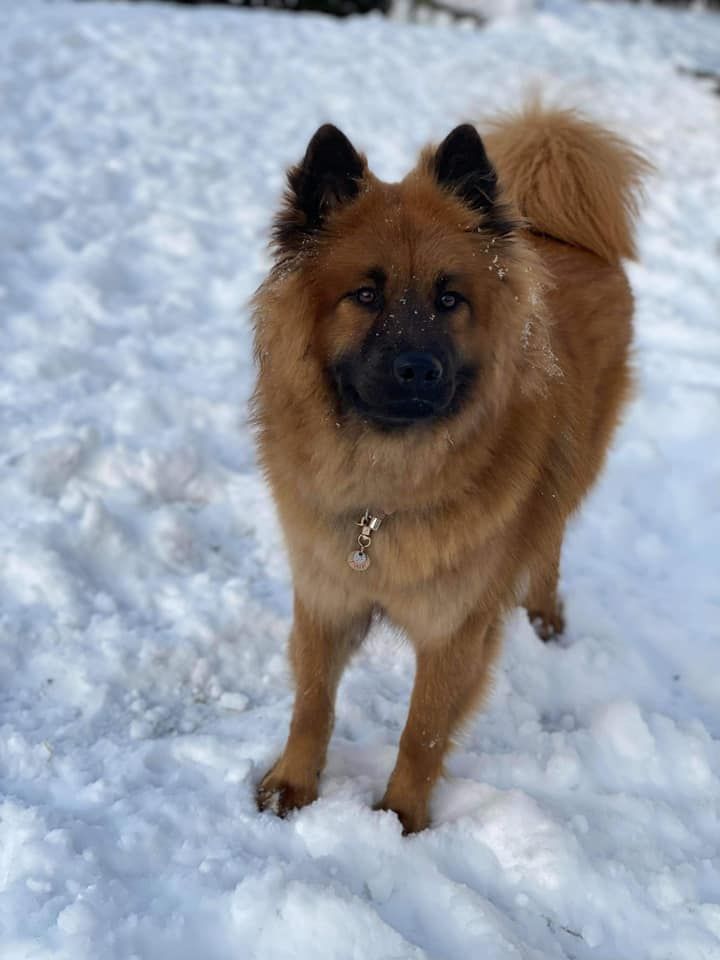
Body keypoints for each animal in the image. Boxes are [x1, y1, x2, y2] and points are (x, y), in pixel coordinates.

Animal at [252, 101, 648, 828]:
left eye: (448, 299)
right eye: (366, 295)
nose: (418, 369)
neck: (383, 496)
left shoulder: (455, 630)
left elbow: (423, 732)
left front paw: (399, 820)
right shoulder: (325, 597)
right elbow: (312, 704)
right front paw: (293, 785)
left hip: (571, 475)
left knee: (548, 544)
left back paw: (545, 619)